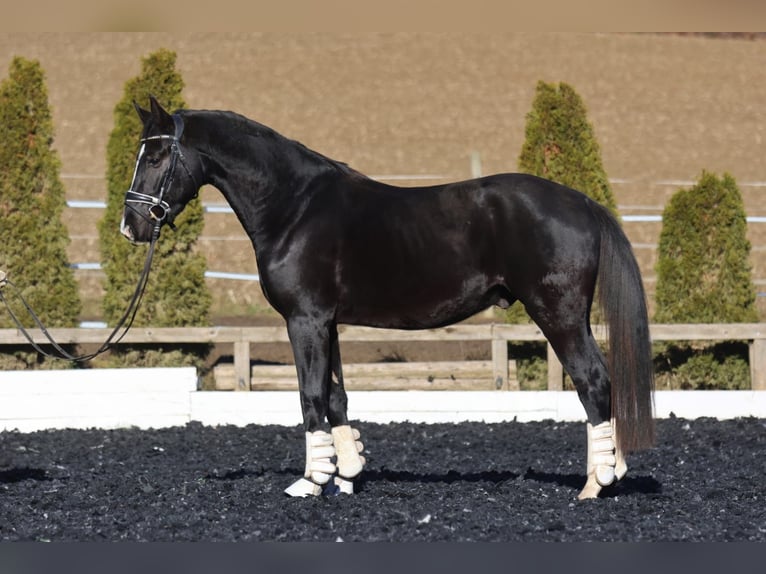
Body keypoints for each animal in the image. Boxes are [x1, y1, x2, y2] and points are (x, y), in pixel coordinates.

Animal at [121, 95, 654, 500]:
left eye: (155, 158)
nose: (131, 227)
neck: (295, 207)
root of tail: (580, 202)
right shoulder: (327, 322)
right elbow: (335, 394)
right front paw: (346, 474)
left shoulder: (304, 320)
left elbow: (310, 394)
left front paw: (311, 482)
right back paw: (611, 470)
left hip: (559, 314)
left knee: (593, 382)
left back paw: (594, 484)